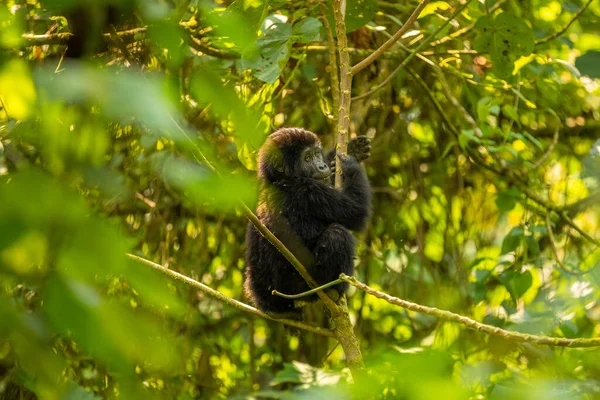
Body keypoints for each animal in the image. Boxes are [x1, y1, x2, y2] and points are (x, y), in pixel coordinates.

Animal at [244, 126, 370, 318]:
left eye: (317, 154)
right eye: (307, 158)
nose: (322, 166)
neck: (280, 179)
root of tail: (270, 304)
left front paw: (352, 150)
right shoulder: (308, 191)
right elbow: (356, 212)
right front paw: (351, 167)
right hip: (298, 287)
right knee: (337, 234)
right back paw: (332, 289)